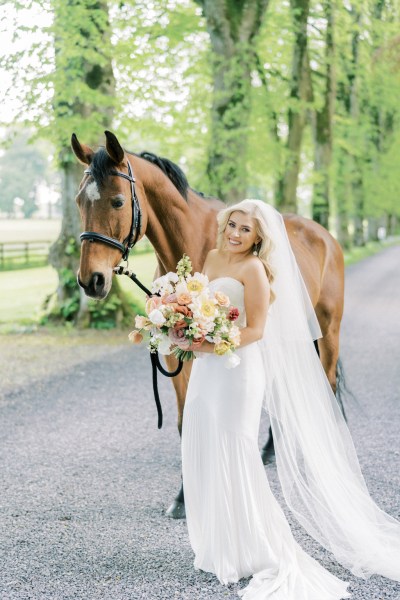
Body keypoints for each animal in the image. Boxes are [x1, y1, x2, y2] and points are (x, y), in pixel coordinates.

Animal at [71, 134, 344, 516]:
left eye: (118, 201)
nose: (90, 281)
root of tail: (324, 235)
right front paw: (184, 497)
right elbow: (185, 419)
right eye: (80, 201)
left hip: (329, 330)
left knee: (327, 384)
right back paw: (270, 451)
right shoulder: (174, 353)